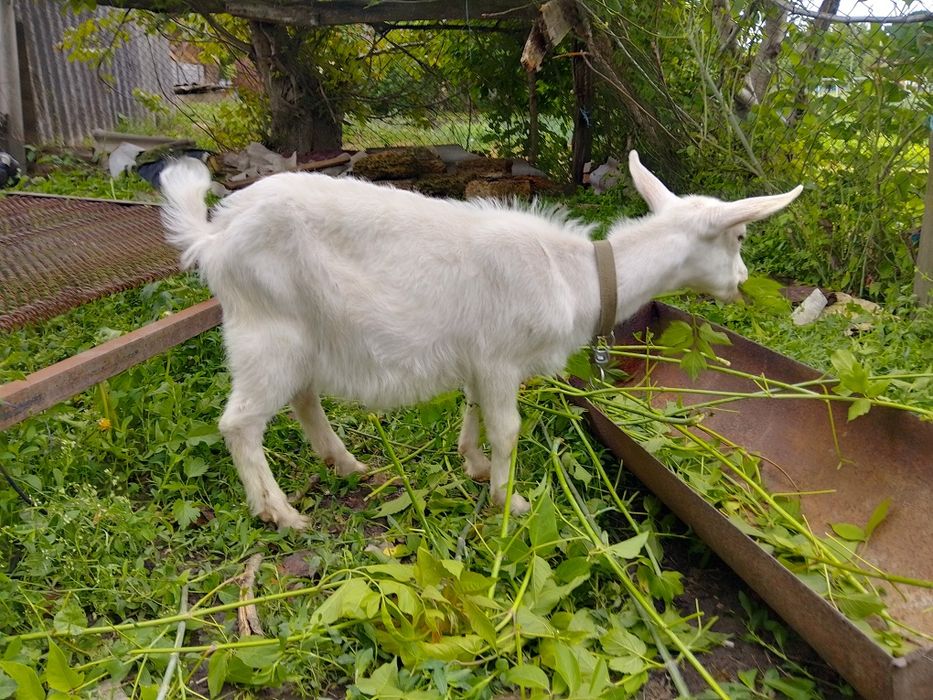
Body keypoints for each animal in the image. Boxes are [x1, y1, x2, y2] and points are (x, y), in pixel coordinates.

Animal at [160, 152, 802, 529]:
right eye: (740, 235)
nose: (743, 282)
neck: (576, 275)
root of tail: (213, 237)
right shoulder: (498, 358)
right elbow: (510, 429)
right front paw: (507, 498)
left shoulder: (480, 359)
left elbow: (473, 411)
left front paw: (472, 464)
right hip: (266, 330)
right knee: (240, 423)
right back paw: (280, 512)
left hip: (301, 335)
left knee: (302, 399)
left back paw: (346, 465)